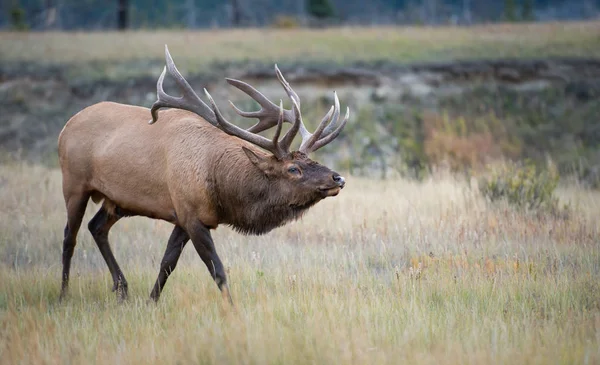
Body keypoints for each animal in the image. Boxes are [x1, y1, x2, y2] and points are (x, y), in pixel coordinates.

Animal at [57, 44, 346, 302]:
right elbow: (217, 270)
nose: (338, 178)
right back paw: (64, 294)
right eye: (293, 168)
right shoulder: (192, 216)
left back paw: (122, 288)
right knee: (69, 237)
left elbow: (167, 262)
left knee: (96, 227)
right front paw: (232, 309)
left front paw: (151, 301)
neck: (219, 183)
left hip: (117, 201)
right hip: (74, 184)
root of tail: (66, 126)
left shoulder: (184, 215)